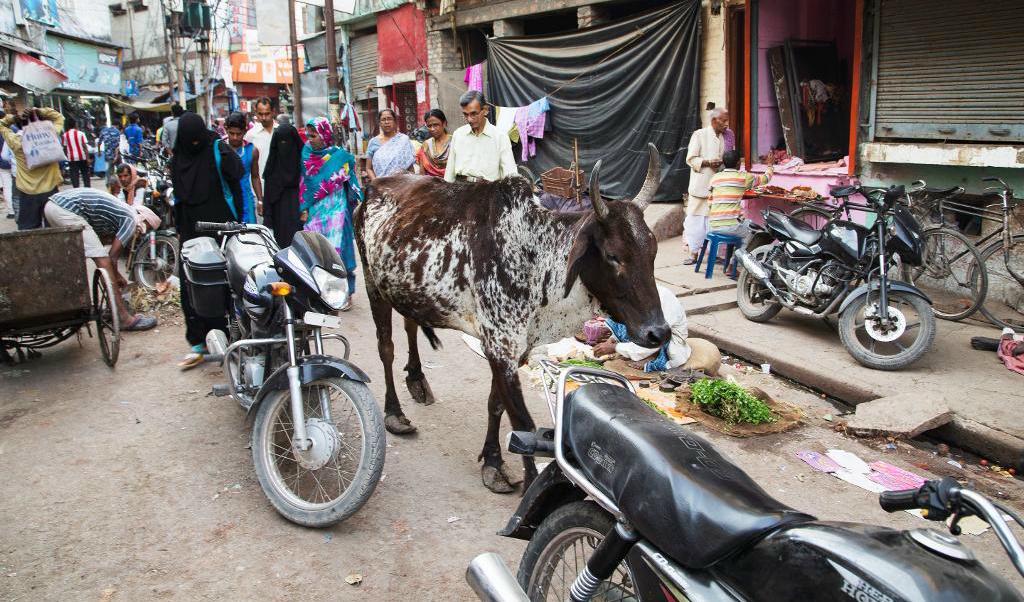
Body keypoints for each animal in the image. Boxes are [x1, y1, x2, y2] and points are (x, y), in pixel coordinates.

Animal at [354, 143, 671, 491]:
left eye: (653, 252)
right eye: (614, 256)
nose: (658, 332)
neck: (535, 256)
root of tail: (374, 185)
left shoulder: (515, 349)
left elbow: (496, 404)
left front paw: (492, 461)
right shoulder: (500, 345)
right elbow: (522, 422)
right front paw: (523, 481)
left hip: (405, 285)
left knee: (410, 323)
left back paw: (417, 379)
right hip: (372, 283)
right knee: (385, 348)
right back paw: (394, 414)